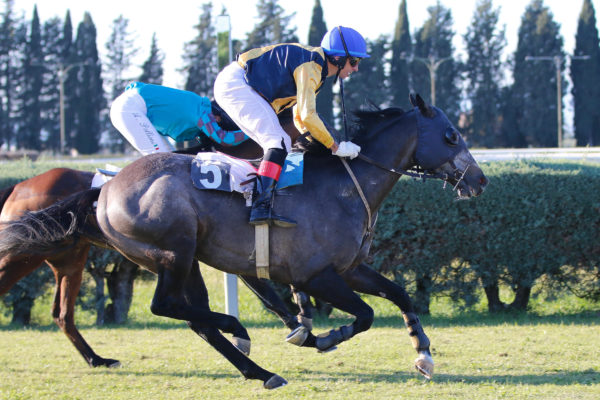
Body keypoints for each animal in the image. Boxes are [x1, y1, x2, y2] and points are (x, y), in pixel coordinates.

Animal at [0, 96, 488, 388]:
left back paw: (258, 369)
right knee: (165, 306)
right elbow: (365, 315)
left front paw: (423, 354)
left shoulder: (349, 269)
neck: (344, 187)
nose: (480, 180)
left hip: (179, 259)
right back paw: (238, 330)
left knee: (193, 320)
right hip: (173, 249)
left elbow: (400, 293)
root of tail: (106, 188)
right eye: (452, 136)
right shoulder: (317, 276)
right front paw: (325, 336)